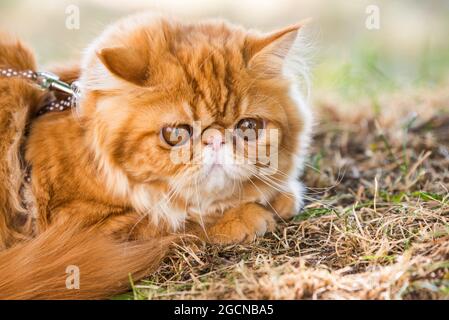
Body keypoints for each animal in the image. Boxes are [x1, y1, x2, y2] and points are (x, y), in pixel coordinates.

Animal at [0, 11, 312, 298]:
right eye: (176, 134)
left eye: (248, 127)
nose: (215, 140)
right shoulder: (87, 229)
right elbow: (175, 221)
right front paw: (246, 215)